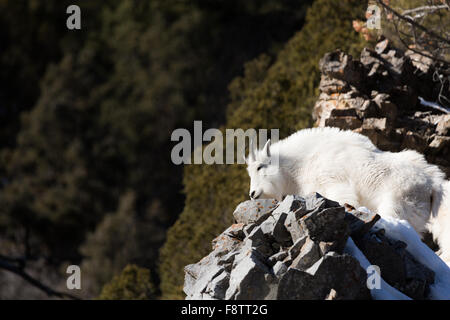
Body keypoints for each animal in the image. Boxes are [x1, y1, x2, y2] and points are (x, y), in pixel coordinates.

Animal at [244, 126, 450, 264]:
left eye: (260, 167)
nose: (252, 194)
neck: (302, 164)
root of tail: (433, 184)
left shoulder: (333, 184)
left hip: (398, 204)